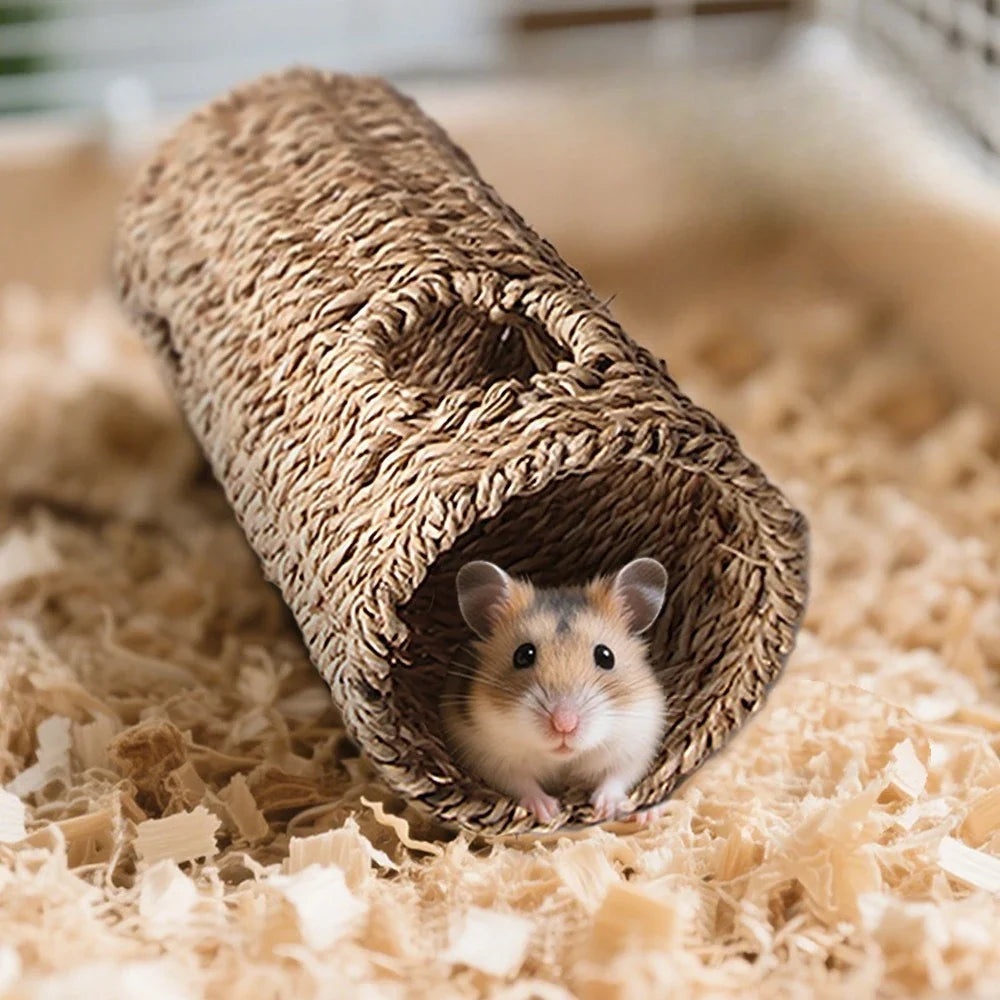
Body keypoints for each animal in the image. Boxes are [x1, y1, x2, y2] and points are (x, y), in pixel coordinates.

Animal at [442, 558, 668, 824]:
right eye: (523, 655)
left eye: (606, 656)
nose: (564, 724)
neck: (563, 759)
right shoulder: (487, 754)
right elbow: (521, 783)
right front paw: (549, 811)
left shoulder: (636, 743)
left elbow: (616, 777)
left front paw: (611, 809)